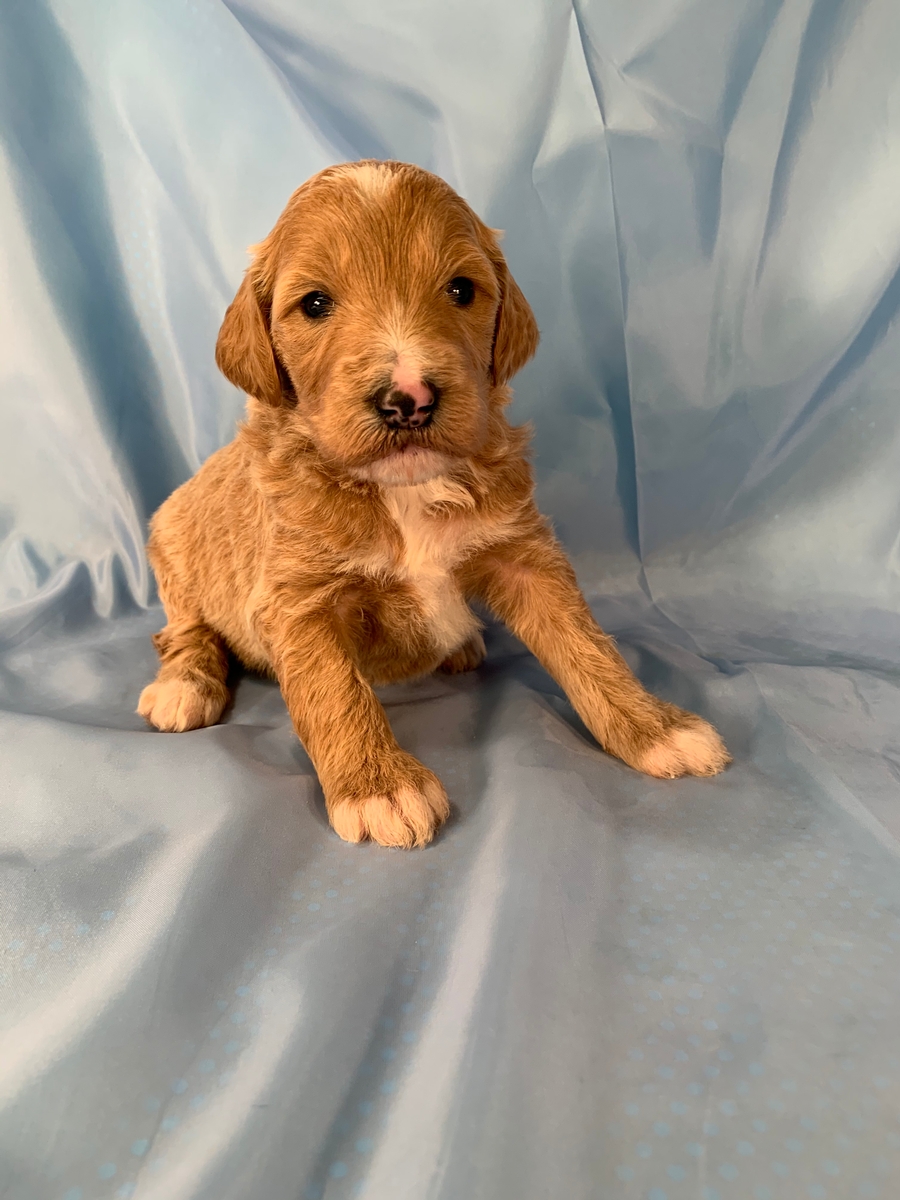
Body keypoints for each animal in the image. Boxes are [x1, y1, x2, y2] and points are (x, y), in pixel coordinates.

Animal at [141, 159, 734, 849]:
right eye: (314, 303)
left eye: (460, 290)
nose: (409, 399)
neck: (405, 490)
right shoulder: (299, 598)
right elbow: (334, 688)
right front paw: (378, 786)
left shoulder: (522, 554)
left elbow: (586, 643)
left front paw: (653, 728)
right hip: (172, 543)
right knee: (181, 631)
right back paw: (184, 685)